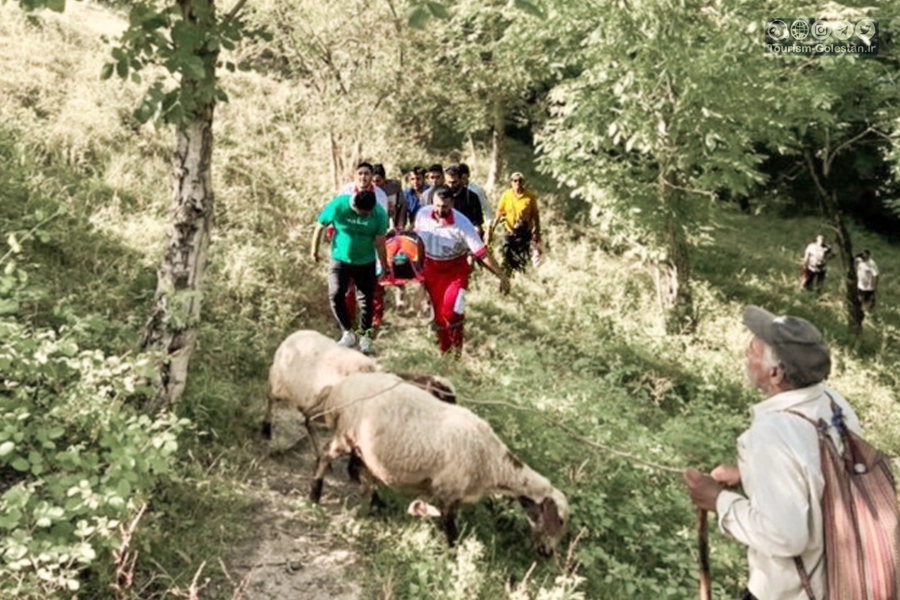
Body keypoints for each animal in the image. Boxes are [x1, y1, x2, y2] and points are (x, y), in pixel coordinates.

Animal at [306, 372, 568, 556]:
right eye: (560, 520)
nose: (547, 553)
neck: (492, 464)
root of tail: (339, 388)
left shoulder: (449, 495)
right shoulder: (448, 495)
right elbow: (451, 533)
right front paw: (452, 558)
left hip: (363, 449)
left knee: (361, 473)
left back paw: (372, 506)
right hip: (346, 436)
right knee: (326, 456)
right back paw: (315, 495)